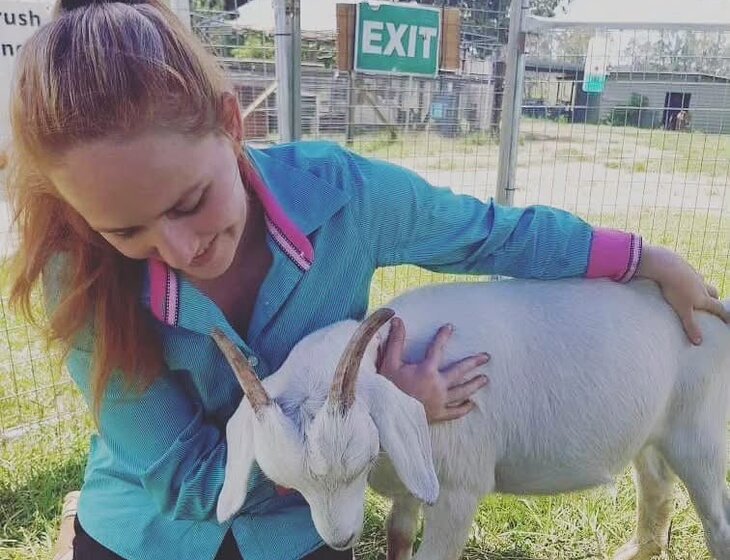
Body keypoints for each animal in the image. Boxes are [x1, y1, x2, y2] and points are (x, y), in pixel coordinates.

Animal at [213, 277, 730, 560]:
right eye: (290, 484)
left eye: (358, 463)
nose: (341, 541)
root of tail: (713, 306)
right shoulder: (413, 482)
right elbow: (398, 537)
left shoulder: (458, 489)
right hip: (653, 433)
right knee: (658, 488)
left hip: (698, 434)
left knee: (717, 518)